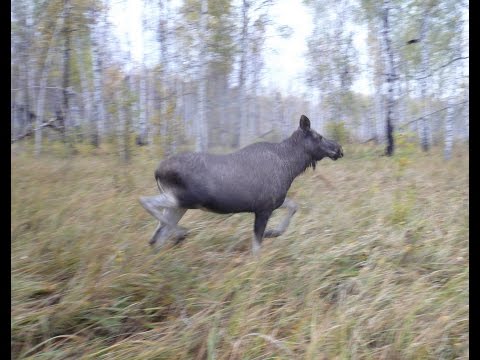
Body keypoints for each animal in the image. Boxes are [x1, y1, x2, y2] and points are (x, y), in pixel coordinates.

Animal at [141, 114, 344, 255]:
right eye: (319, 136)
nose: (339, 149)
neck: (291, 167)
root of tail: (157, 171)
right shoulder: (263, 208)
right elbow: (256, 248)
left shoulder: (273, 202)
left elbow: (294, 206)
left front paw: (273, 232)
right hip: (184, 198)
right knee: (146, 203)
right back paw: (180, 233)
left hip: (181, 205)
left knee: (158, 234)